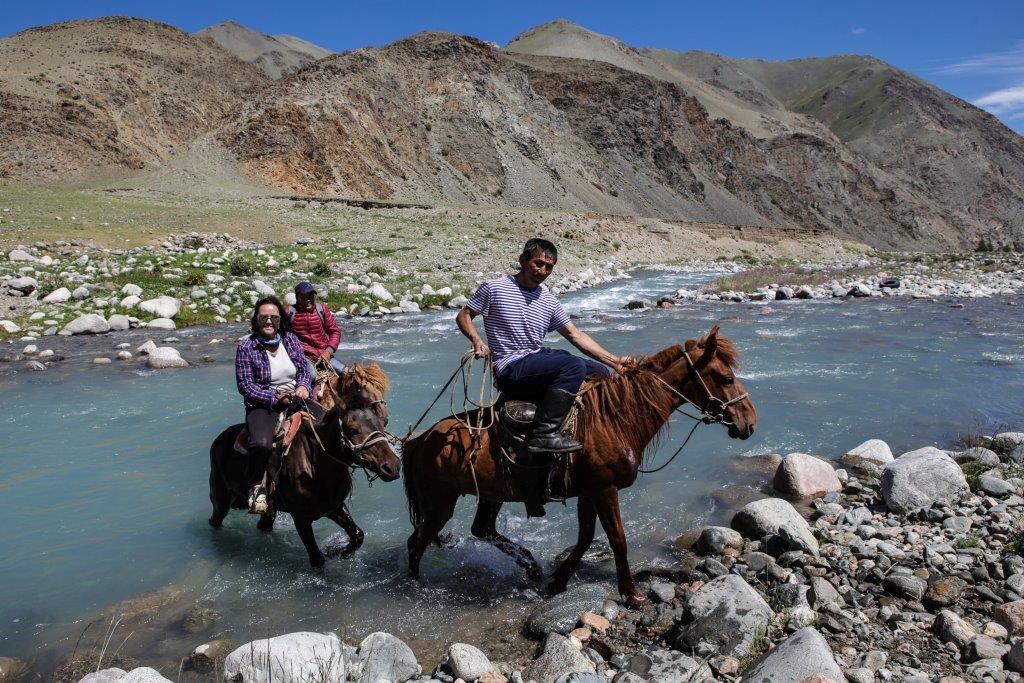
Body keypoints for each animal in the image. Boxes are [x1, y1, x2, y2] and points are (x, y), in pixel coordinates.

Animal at [207, 362, 399, 565]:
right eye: (353, 429)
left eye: (380, 424)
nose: (392, 466)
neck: (317, 464)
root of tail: (219, 440)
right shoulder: (301, 518)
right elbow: (317, 559)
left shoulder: (334, 507)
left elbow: (357, 535)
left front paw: (337, 552)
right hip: (221, 498)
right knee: (215, 520)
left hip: (269, 509)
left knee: (263, 524)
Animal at [399, 327, 753, 606]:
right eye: (726, 377)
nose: (749, 422)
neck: (614, 419)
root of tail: (422, 439)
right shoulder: (605, 489)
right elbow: (617, 539)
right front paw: (631, 593)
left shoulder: (589, 491)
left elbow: (585, 537)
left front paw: (558, 581)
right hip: (440, 502)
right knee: (417, 542)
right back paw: (417, 586)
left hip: (489, 494)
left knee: (481, 530)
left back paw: (531, 566)